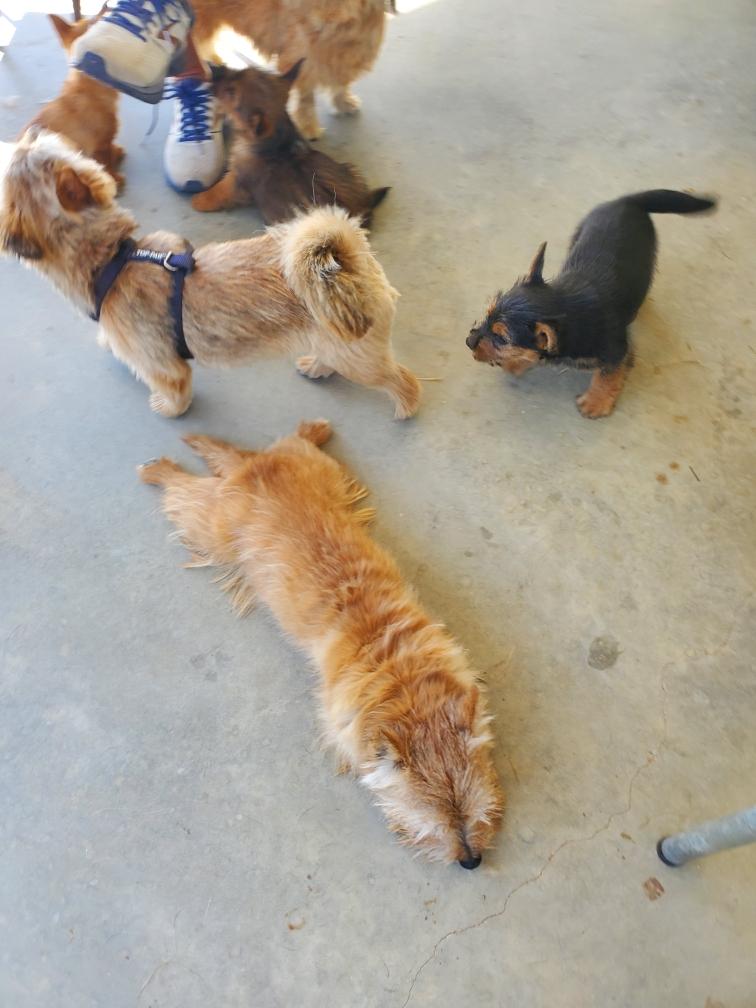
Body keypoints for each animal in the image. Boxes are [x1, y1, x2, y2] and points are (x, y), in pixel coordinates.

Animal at [0, 130, 419, 420]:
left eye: (17, 159)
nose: (30, 129)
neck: (112, 260)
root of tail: (352, 257)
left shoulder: (165, 368)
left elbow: (176, 391)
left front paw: (170, 408)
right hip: (336, 340)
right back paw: (317, 365)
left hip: (360, 358)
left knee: (401, 380)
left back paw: (405, 406)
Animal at [139, 420, 504, 865]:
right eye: (428, 822)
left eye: (474, 810)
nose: (471, 859)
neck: (404, 679)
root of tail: (252, 467)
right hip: (211, 527)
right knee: (183, 493)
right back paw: (158, 470)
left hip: (320, 471)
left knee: (287, 442)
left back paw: (311, 429)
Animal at [189, 0, 390, 139]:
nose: (318, 23)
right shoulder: (304, 58)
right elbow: (306, 97)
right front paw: (308, 126)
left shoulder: (345, 57)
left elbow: (340, 82)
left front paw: (343, 101)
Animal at [192, 61, 389, 226]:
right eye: (242, 69)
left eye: (231, 92)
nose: (213, 68)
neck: (278, 139)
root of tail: (361, 212)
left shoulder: (236, 179)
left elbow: (219, 191)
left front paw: (199, 200)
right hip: (351, 169)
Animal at [467, 190, 716, 418]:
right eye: (487, 314)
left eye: (501, 338)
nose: (468, 341)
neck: (565, 303)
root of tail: (626, 200)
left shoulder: (618, 352)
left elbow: (607, 376)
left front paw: (596, 402)